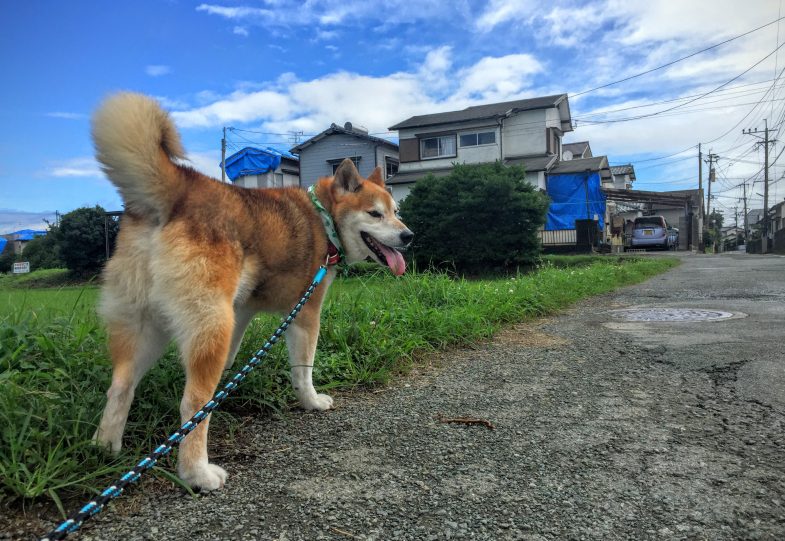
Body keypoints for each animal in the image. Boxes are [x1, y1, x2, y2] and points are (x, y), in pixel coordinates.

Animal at [90, 93, 410, 490]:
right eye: (375, 214)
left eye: (395, 211)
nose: (408, 236)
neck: (323, 219)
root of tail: (182, 189)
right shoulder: (305, 311)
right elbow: (303, 369)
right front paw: (311, 401)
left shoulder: (241, 310)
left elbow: (234, 353)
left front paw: (232, 378)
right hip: (211, 322)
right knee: (192, 405)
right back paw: (197, 472)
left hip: (148, 326)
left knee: (120, 386)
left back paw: (105, 447)